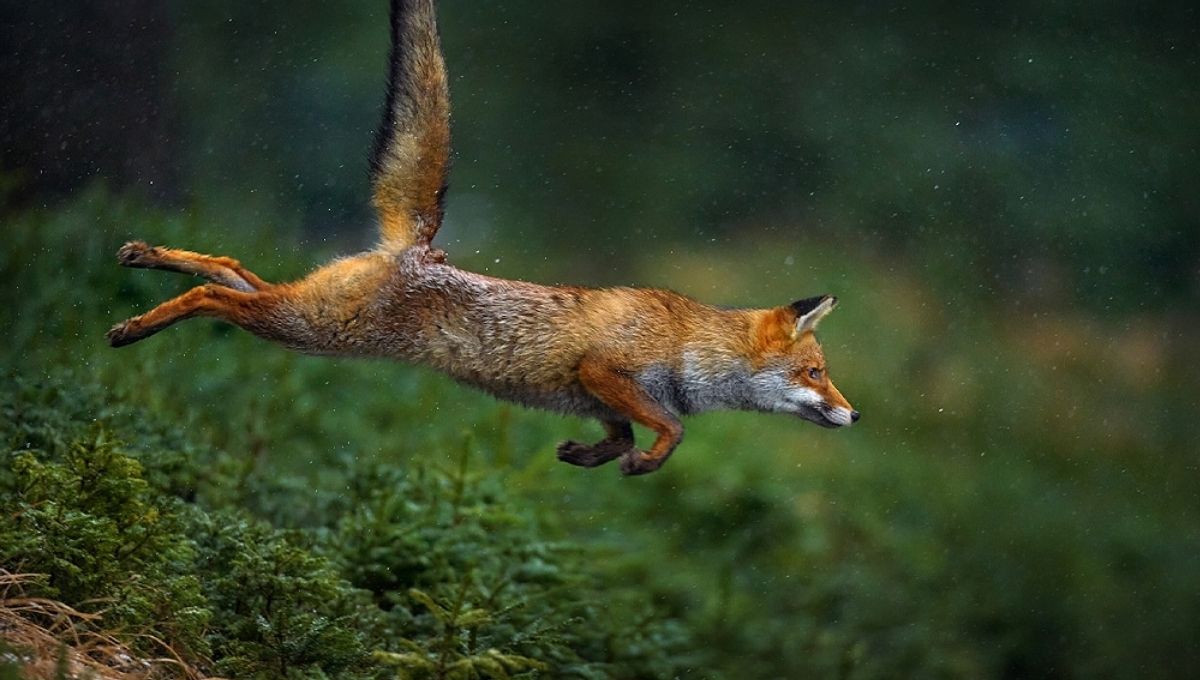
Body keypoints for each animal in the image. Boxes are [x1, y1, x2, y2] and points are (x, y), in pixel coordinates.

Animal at [106, 0, 858, 476]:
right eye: (815, 373)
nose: (855, 416)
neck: (687, 346)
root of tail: (420, 248)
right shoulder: (603, 371)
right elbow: (672, 429)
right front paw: (645, 461)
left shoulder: (594, 397)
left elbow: (622, 434)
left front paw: (592, 457)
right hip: (309, 328)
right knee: (215, 295)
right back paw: (135, 327)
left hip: (306, 310)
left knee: (228, 265)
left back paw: (145, 257)